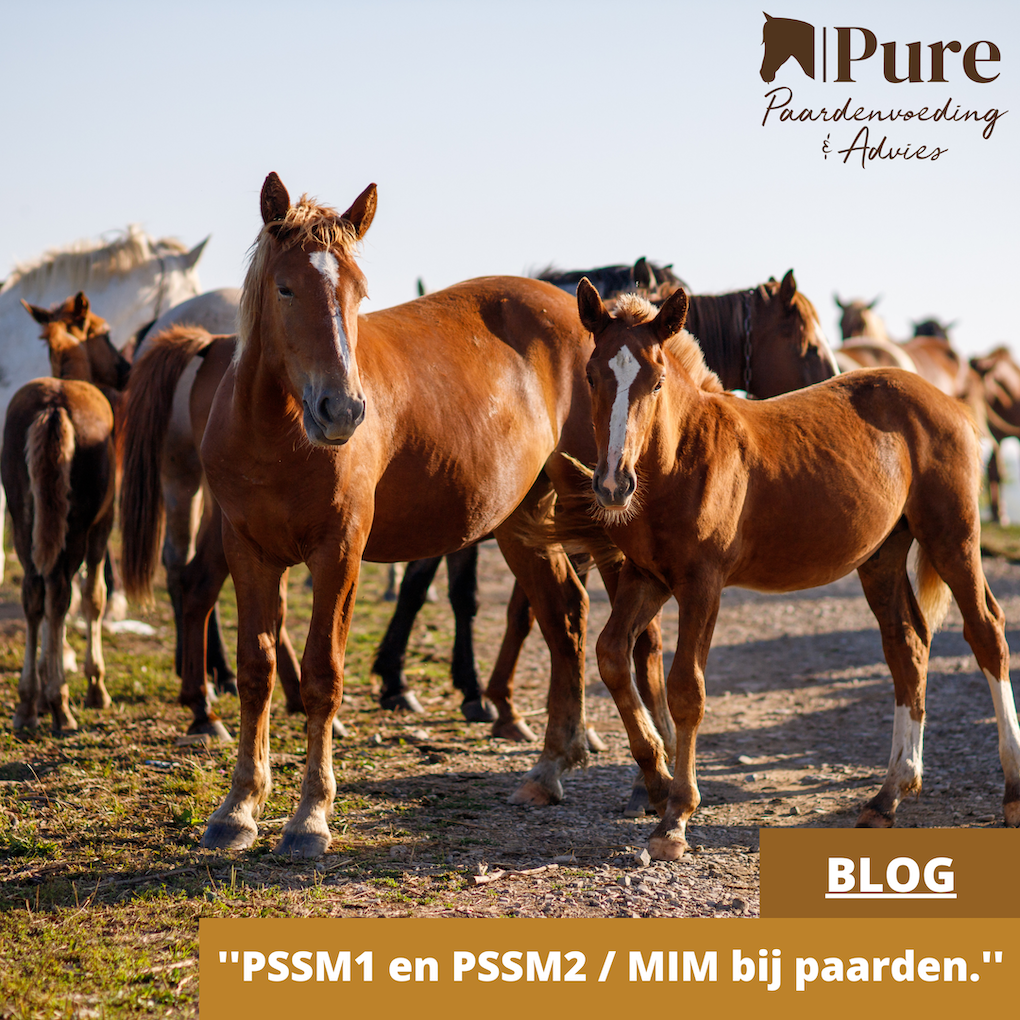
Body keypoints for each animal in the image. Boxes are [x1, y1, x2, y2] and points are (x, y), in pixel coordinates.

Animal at [2, 297, 128, 732]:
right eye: (105, 333)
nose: (126, 369)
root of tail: (53, 407)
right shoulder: (103, 525)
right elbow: (94, 596)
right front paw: (94, 685)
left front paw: (42, 685)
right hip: (76, 526)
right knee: (59, 591)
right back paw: (60, 704)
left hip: (24, 520)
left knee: (33, 591)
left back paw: (27, 703)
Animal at [575, 278, 1020, 861]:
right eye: (591, 374)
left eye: (657, 379)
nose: (613, 484)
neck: (681, 458)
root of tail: (949, 400)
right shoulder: (647, 577)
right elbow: (610, 655)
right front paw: (655, 776)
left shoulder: (702, 583)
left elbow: (686, 689)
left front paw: (675, 818)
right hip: (882, 555)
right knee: (907, 646)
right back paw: (887, 796)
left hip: (953, 537)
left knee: (986, 633)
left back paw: (1012, 793)